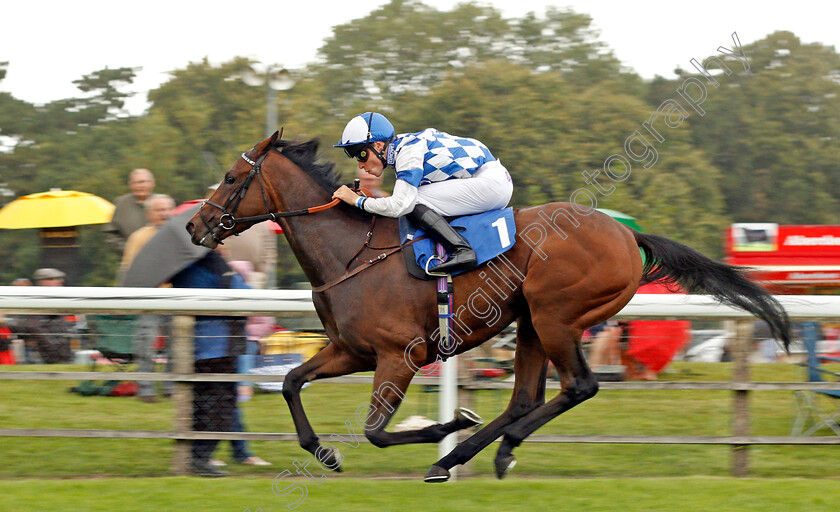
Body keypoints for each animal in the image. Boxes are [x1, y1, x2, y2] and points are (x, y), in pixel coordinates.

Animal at [187, 131, 792, 480]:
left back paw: (479, 451)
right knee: (525, 398)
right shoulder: (351, 350)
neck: (350, 251)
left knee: (578, 387)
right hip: (530, 323)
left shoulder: (398, 355)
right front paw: (326, 454)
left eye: (232, 177)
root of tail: (627, 236)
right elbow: (291, 382)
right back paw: (464, 457)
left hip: (555, 315)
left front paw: (444, 423)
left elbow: (377, 430)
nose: (195, 225)